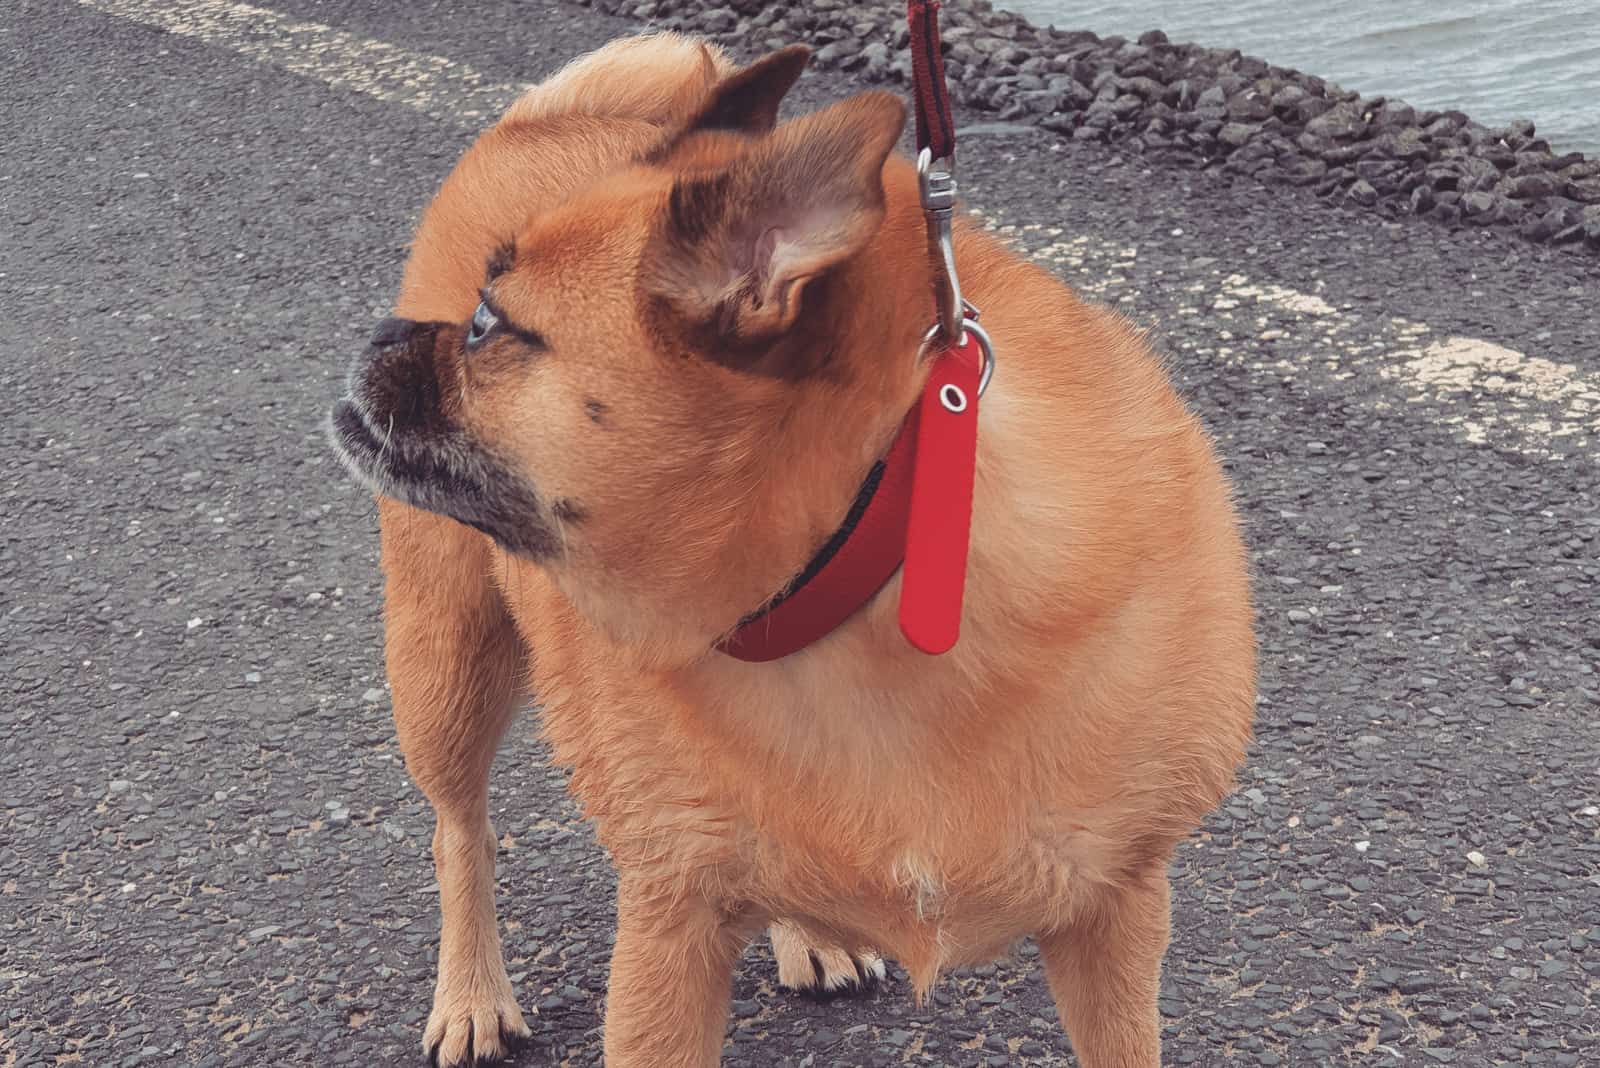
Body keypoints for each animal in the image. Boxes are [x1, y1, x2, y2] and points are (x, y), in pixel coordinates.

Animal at [331, 31, 1254, 1068]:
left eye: (490, 326)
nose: (385, 330)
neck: (857, 562)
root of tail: (550, 118)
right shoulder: (669, 934)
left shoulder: (1113, 921)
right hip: (446, 663)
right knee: (462, 832)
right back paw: (471, 992)